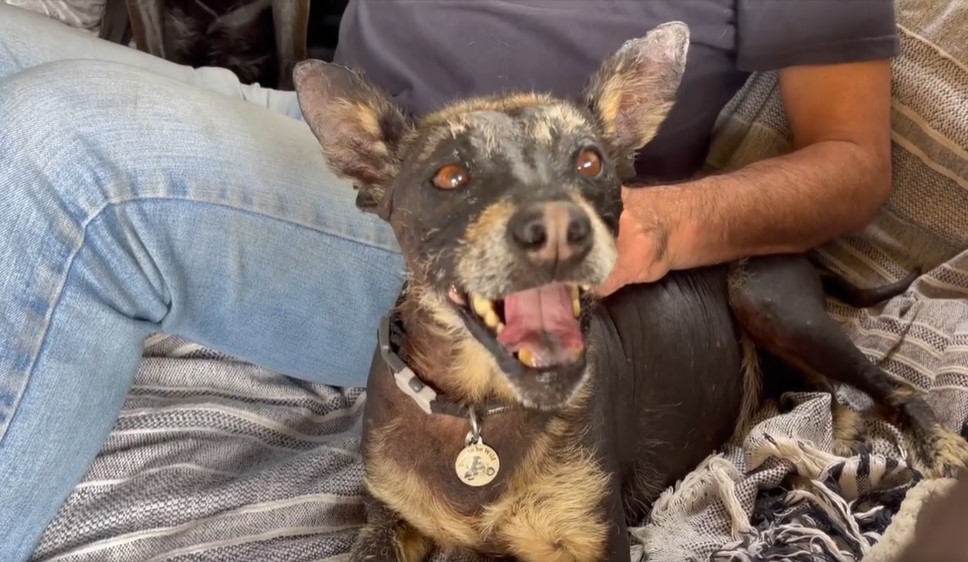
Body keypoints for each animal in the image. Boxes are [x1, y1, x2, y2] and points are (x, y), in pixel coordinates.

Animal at [292, 21, 968, 560]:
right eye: (450, 176)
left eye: (590, 162)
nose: (559, 227)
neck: (482, 410)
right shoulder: (387, 521)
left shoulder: (594, 539)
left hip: (766, 297)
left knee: (888, 384)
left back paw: (934, 448)